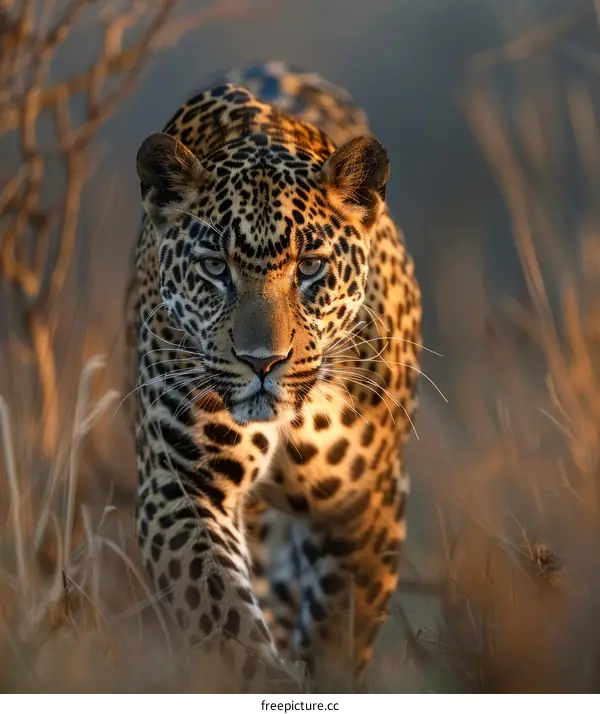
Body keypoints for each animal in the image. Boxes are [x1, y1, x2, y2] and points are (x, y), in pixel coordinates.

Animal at [125, 61, 422, 693]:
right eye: (215, 268)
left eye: (309, 268)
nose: (263, 362)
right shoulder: (182, 487)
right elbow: (222, 618)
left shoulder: (366, 501)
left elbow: (340, 630)